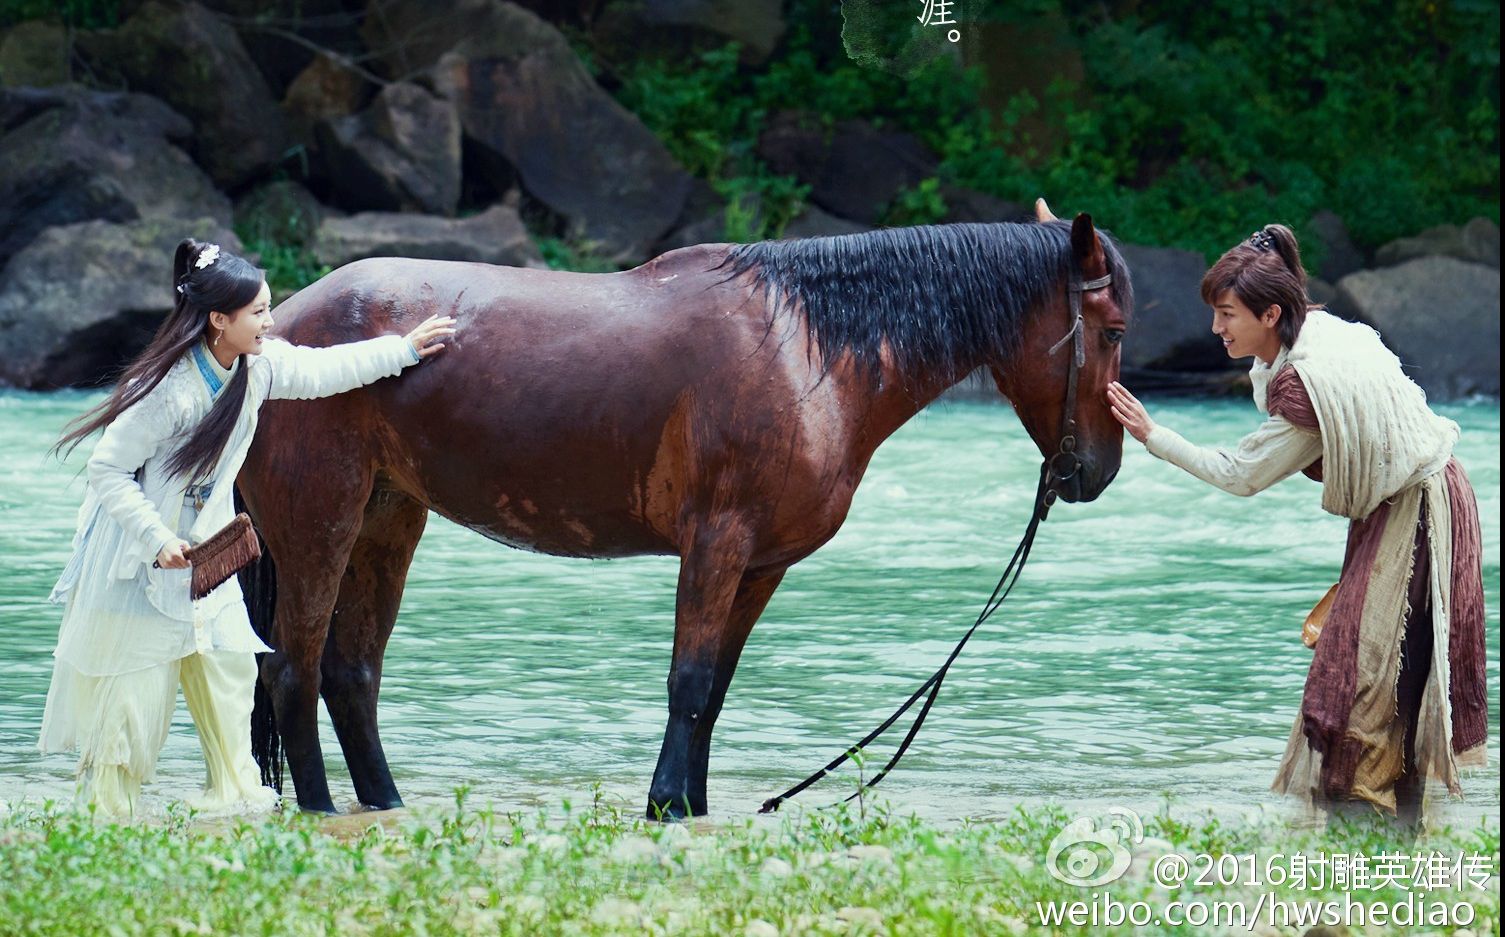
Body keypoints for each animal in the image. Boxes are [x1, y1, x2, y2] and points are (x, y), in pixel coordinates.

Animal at [237, 216, 1131, 818]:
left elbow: (717, 689)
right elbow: (689, 680)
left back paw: (384, 803)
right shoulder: (717, 544)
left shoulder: (761, 566)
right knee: (294, 670)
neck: (805, 351)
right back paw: (318, 807)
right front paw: (666, 802)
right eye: (1112, 329)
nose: (1092, 473)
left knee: (352, 674)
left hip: (387, 522)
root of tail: (272, 337)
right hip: (320, 525)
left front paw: (692, 802)